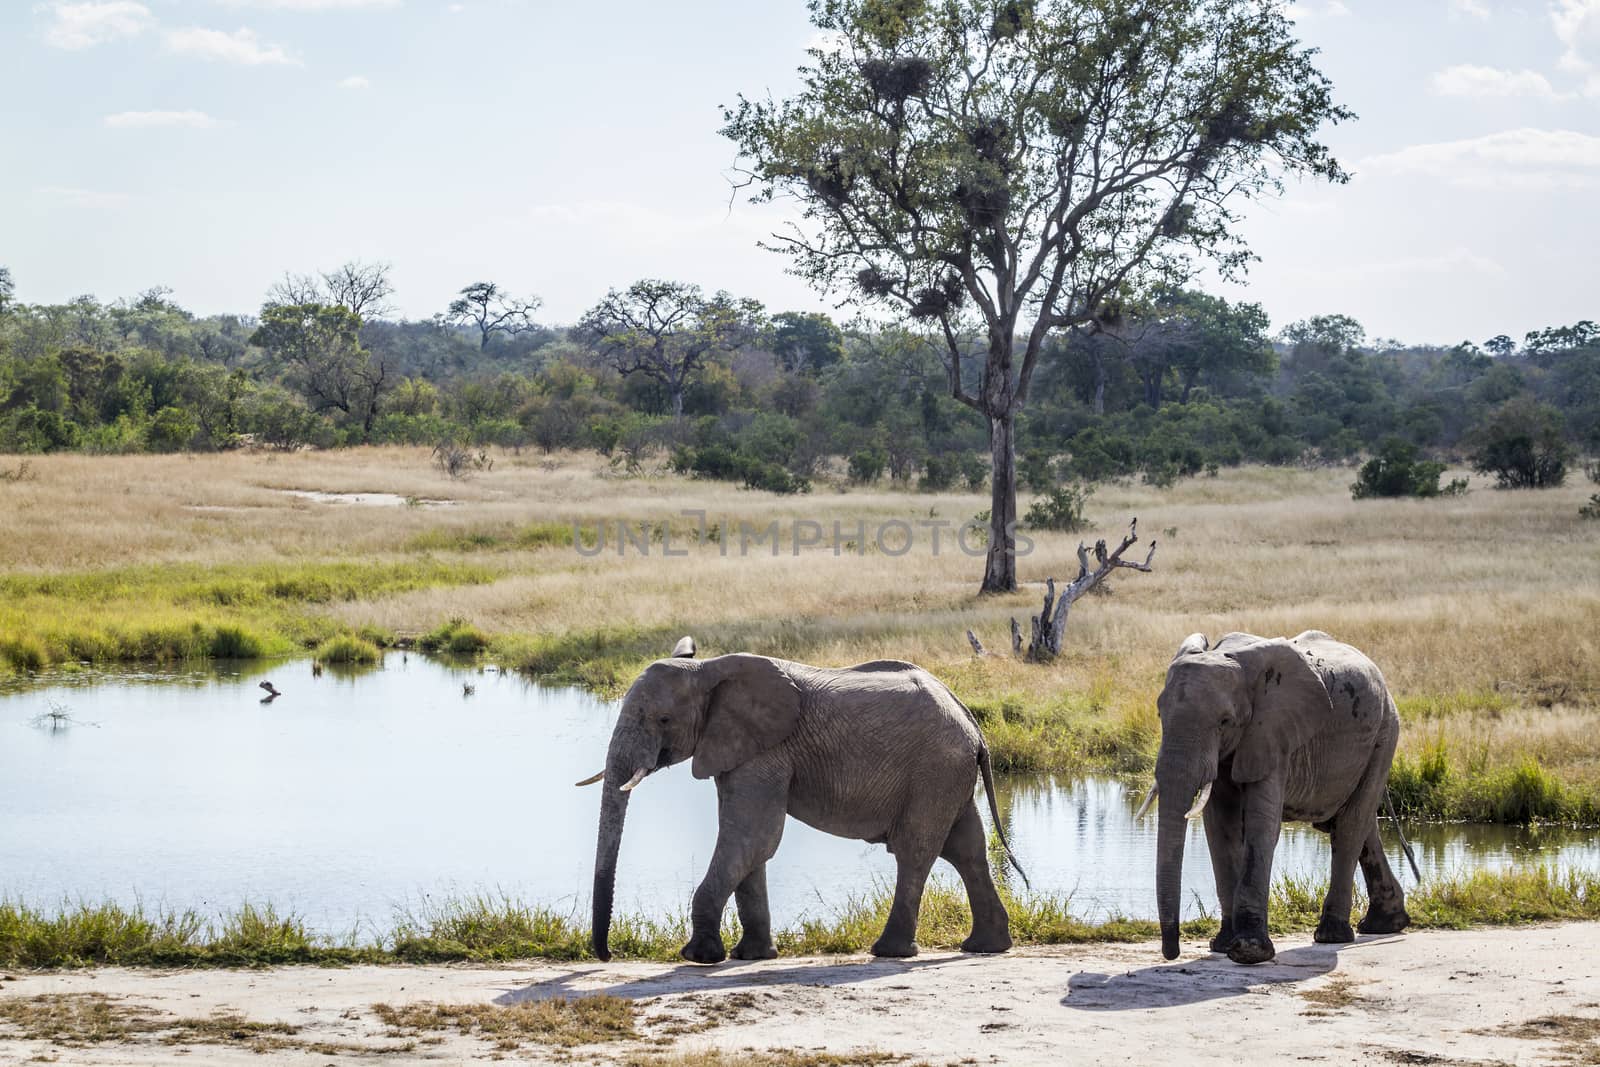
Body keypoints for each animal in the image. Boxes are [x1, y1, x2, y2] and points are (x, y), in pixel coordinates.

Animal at [579, 643, 1024, 966]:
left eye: (663, 720)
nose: (606, 955)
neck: (707, 668)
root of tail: (971, 722)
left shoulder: (766, 750)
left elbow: (753, 837)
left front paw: (699, 957)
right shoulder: (739, 750)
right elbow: (750, 845)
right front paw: (752, 957)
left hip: (934, 769)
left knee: (916, 851)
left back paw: (890, 951)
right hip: (948, 774)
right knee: (966, 849)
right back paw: (986, 947)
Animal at [1139, 633, 1414, 966]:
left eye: (1225, 721)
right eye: (1159, 715)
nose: (1171, 952)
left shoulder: (1273, 735)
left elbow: (1262, 826)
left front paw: (1248, 952)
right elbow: (1220, 828)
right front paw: (1222, 944)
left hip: (1385, 733)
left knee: (1351, 824)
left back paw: (1333, 935)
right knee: (1359, 824)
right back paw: (1384, 925)